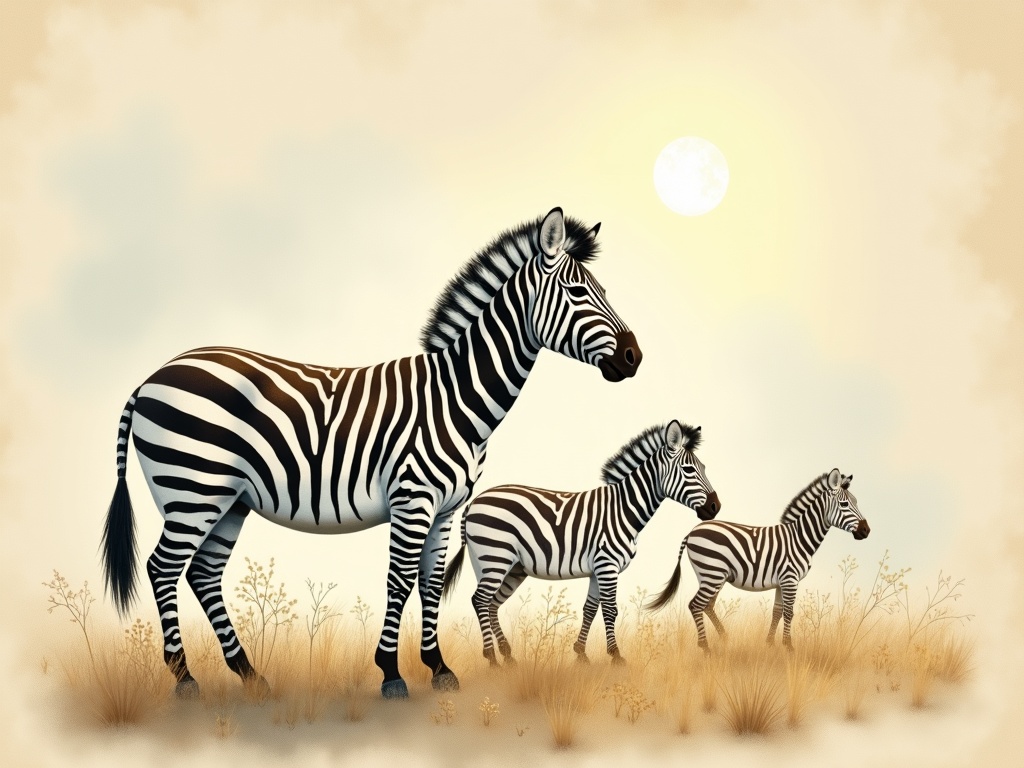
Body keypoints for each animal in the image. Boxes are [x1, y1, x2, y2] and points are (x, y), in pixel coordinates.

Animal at [100, 207, 644, 700]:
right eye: (578, 292)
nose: (634, 357)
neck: (457, 398)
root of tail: (151, 378)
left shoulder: (447, 508)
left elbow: (429, 583)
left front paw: (439, 668)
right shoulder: (412, 497)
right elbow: (399, 581)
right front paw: (391, 673)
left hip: (226, 500)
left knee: (203, 573)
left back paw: (250, 675)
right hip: (194, 487)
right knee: (163, 568)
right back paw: (185, 679)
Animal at [441, 420, 721, 665]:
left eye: (706, 468)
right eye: (688, 470)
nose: (715, 507)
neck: (623, 510)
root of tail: (474, 502)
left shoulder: (597, 569)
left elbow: (589, 609)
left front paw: (581, 654)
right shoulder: (607, 565)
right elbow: (610, 610)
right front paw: (616, 656)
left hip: (501, 566)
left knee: (491, 603)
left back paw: (508, 656)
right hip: (496, 557)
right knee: (479, 600)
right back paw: (491, 659)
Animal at [646, 468, 869, 650]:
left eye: (857, 502)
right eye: (844, 504)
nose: (866, 530)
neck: (799, 538)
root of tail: (692, 531)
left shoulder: (782, 582)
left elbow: (777, 611)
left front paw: (770, 644)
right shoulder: (790, 579)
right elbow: (789, 612)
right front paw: (789, 649)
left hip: (711, 576)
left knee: (707, 605)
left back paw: (725, 638)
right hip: (712, 573)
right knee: (695, 605)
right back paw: (706, 648)